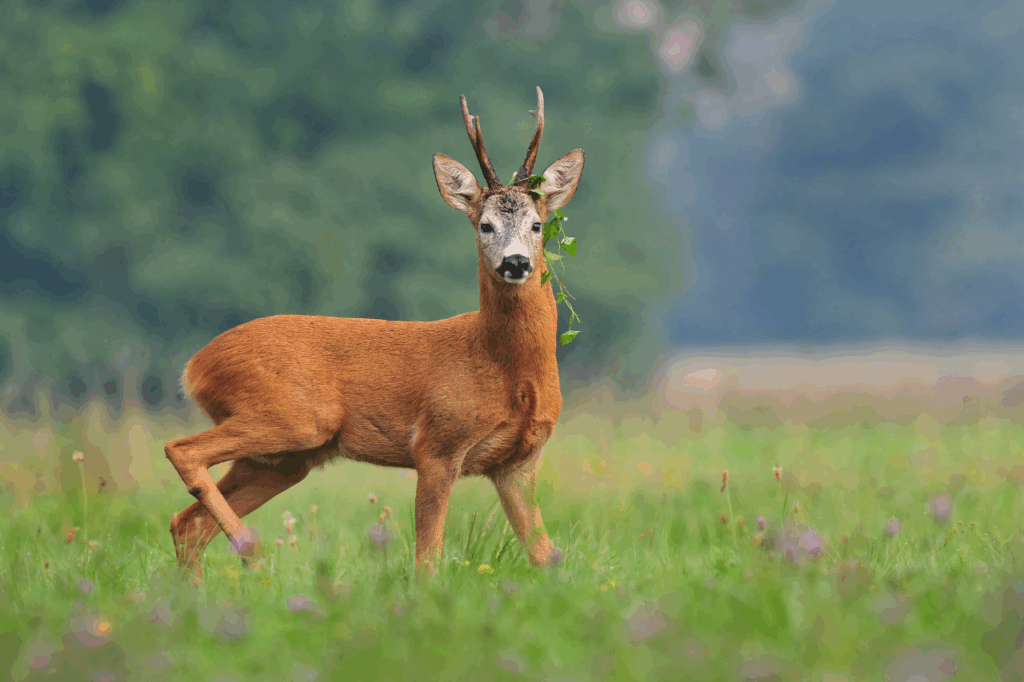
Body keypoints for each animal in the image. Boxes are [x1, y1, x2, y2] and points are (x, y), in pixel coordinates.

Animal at [165, 86, 585, 578]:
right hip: (293, 417)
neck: (506, 370)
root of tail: (195, 367)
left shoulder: (518, 463)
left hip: (283, 459)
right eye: (486, 225)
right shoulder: (436, 445)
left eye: (537, 225)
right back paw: (254, 553)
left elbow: (544, 555)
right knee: (181, 451)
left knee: (187, 522)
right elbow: (427, 558)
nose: (515, 262)